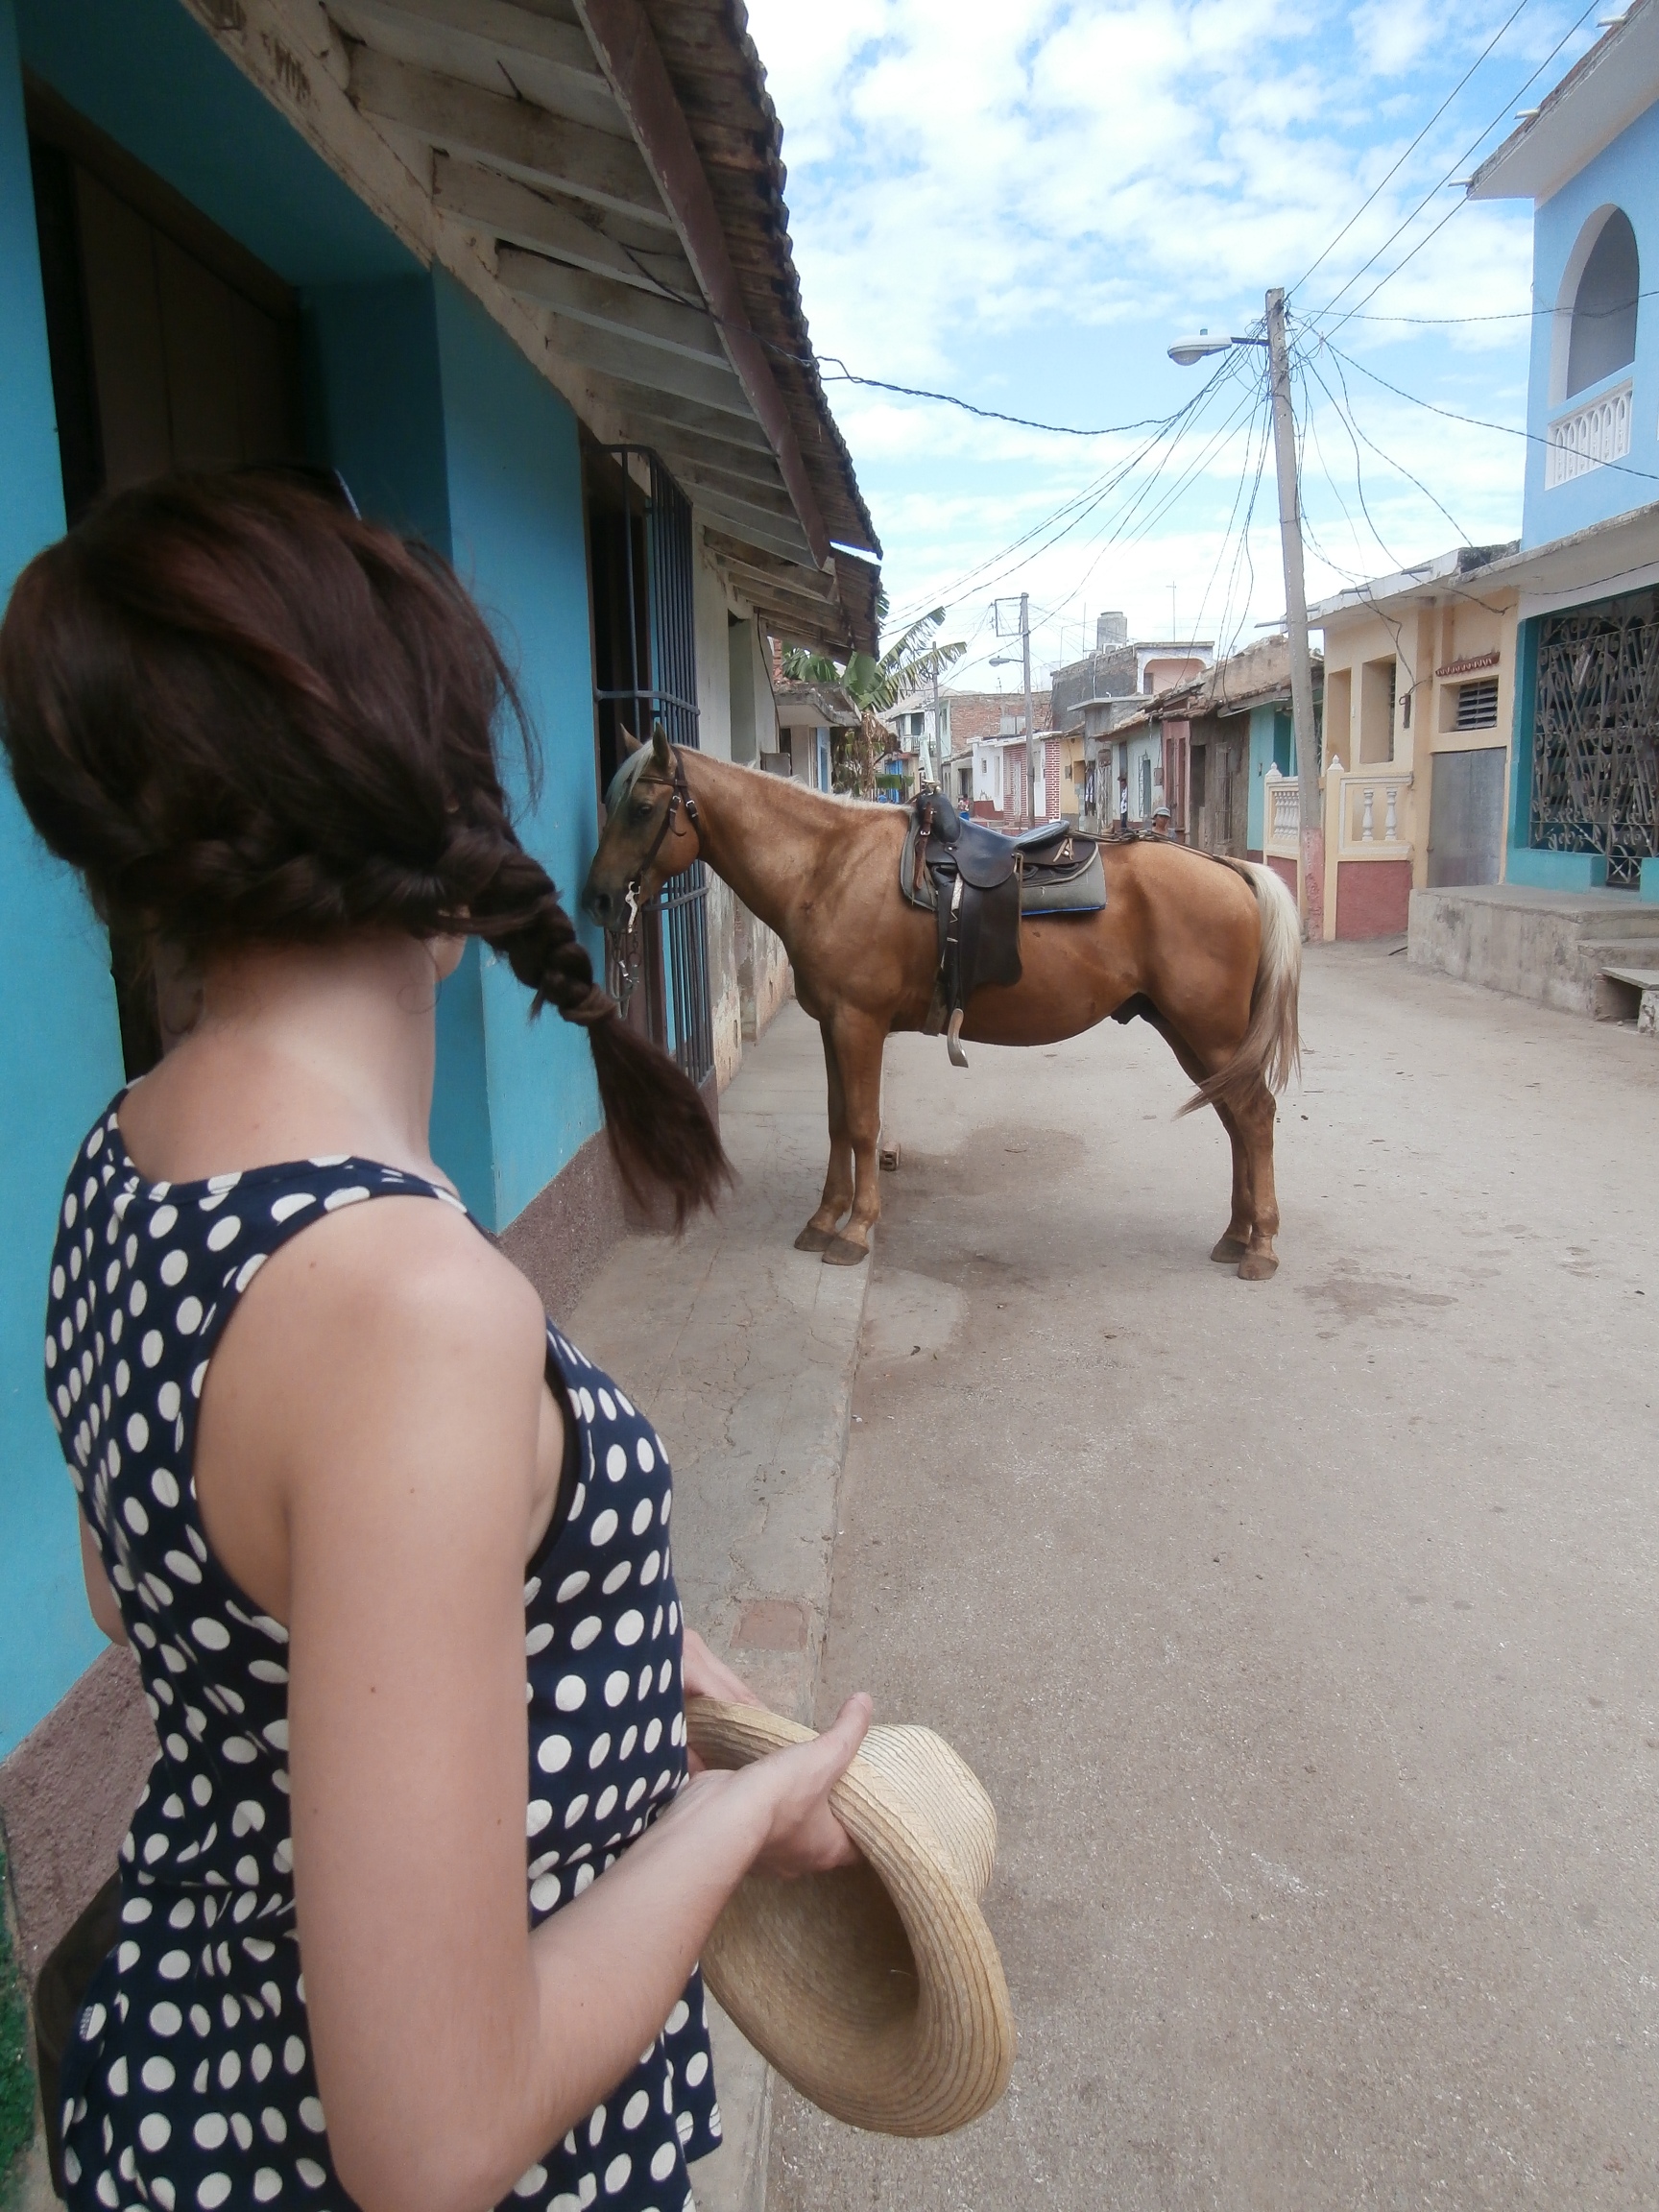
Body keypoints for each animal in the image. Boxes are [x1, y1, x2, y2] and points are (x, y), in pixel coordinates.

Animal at [579, 725, 1309, 1283]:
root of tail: (1232, 871)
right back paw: (1237, 1235)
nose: (599, 899)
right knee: (1236, 1119)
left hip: (1207, 1031)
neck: (827, 866)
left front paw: (856, 1230)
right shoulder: (834, 1025)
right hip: (1191, 1033)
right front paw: (823, 1219)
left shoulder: (859, 1024)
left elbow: (863, 1125)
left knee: (1254, 1116)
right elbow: (837, 1121)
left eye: (641, 809)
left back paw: (1263, 1245)